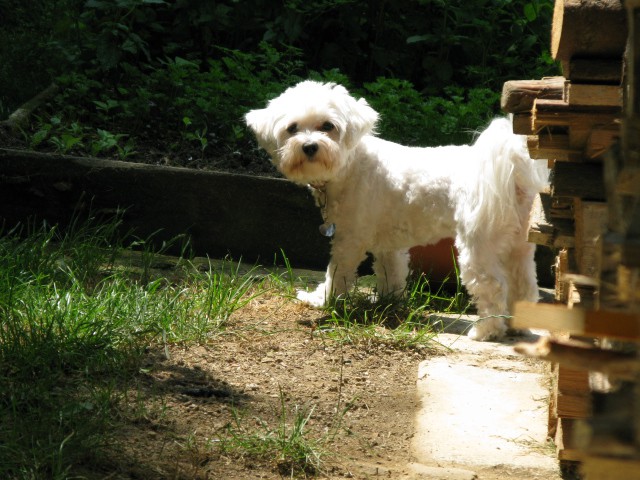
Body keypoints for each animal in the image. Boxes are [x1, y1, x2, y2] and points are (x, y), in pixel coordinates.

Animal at [245, 80, 544, 340]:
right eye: (292, 128)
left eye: (328, 126)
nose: (309, 146)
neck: (352, 164)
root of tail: (513, 169)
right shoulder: (388, 244)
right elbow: (392, 272)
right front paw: (389, 303)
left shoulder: (349, 240)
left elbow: (337, 273)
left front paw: (324, 301)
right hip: (519, 246)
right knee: (524, 286)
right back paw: (519, 325)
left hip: (479, 246)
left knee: (493, 287)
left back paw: (486, 331)